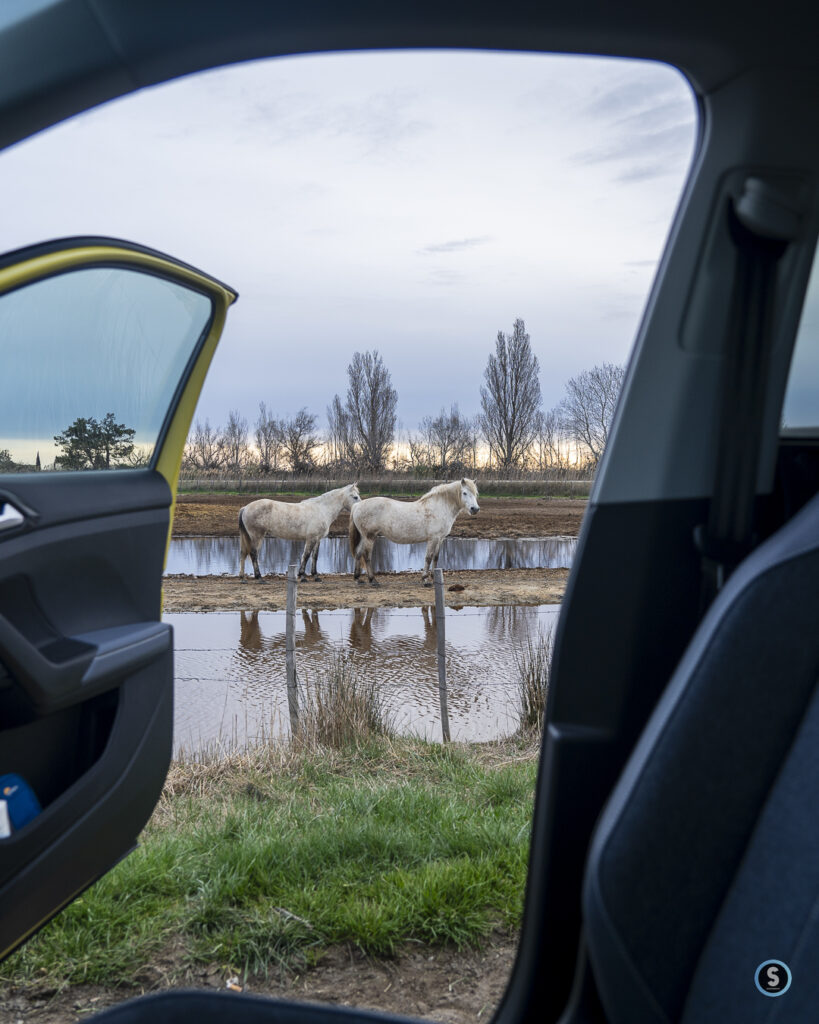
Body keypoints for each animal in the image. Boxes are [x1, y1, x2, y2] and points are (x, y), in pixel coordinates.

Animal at [348, 477, 479, 589]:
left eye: (475, 493)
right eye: (465, 493)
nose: (475, 509)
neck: (439, 507)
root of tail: (357, 505)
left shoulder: (440, 539)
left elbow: (436, 558)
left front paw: (434, 577)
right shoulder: (433, 539)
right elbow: (428, 557)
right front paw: (425, 580)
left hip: (364, 537)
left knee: (358, 553)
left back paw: (358, 579)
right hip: (369, 537)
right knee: (367, 556)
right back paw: (373, 580)